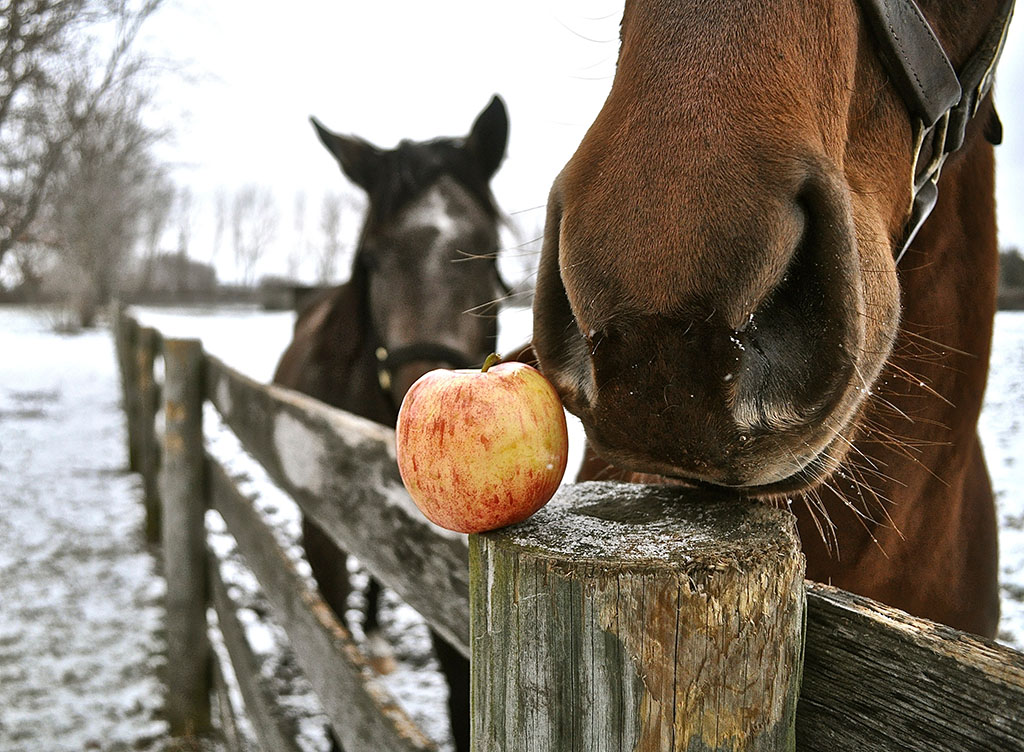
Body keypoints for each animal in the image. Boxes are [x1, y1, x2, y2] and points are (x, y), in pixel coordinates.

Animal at [273, 95, 509, 751]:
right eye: (372, 258)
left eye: (488, 252)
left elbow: (460, 690)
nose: (417, 389)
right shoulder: (321, 528)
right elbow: (334, 652)